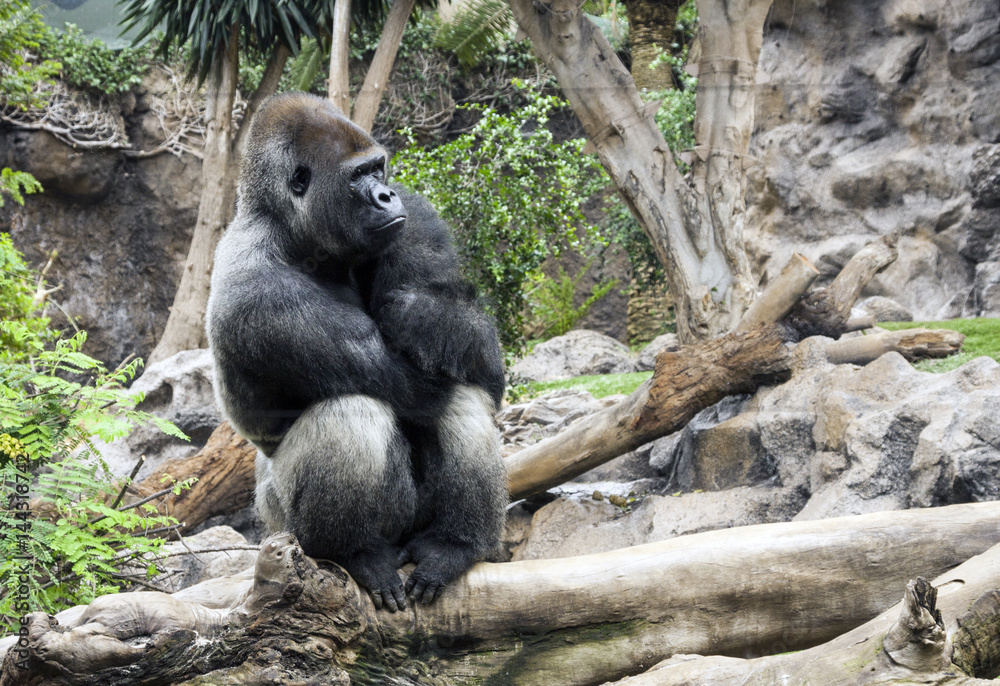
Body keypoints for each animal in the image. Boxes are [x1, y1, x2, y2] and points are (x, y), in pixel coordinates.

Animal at [206, 92, 508, 613]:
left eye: (379, 169)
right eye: (356, 177)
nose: (386, 196)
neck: (290, 231)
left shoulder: (416, 218)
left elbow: (482, 366)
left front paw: (428, 315)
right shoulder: (262, 297)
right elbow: (412, 388)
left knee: (461, 394)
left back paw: (454, 544)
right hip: (281, 526)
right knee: (357, 411)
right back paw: (355, 553)